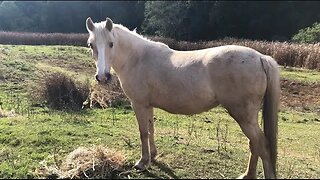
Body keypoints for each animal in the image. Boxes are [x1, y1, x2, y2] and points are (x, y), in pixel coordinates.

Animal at [85, 17, 280, 179]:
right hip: (248, 118)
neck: (137, 59)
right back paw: (248, 175)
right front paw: (153, 156)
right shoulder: (148, 105)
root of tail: (260, 57)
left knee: (261, 144)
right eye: (91, 45)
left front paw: (143, 162)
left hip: (243, 116)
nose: (102, 77)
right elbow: (151, 129)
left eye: (111, 44)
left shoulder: (138, 104)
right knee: (254, 144)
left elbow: (143, 133)